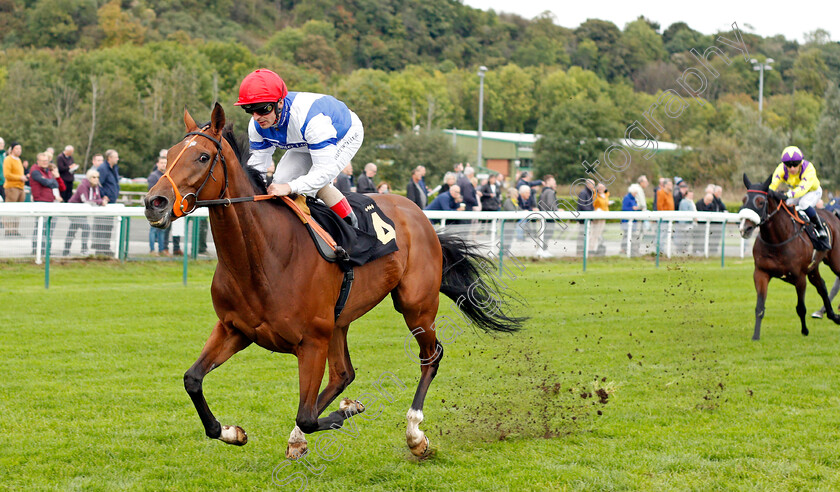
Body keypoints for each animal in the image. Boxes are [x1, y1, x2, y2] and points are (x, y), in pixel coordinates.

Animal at [144, 104, 524, 458]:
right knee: (343, 374)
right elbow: (193, 380)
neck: (261, 257)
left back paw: (415, 434)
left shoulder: (311, 341)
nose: (153, 202)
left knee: (430, 356)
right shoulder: (234, 329)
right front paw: (232, 432)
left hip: (415, 305)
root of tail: (419, 213)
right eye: (170, 154)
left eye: (202, 156)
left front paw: (347, 413)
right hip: (339, 321)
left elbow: (308, 416)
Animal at [740, 175, 840, 340]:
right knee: (822, 287)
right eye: (743, 200)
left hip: (835, 262)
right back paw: (832, 315)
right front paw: (755, 336)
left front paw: (805, 331)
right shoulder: (761, 273)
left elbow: (801, 308)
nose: (745, 228)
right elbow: (759, 307)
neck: (777, 240)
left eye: (760, 202)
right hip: (813, 268)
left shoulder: (799, 277)